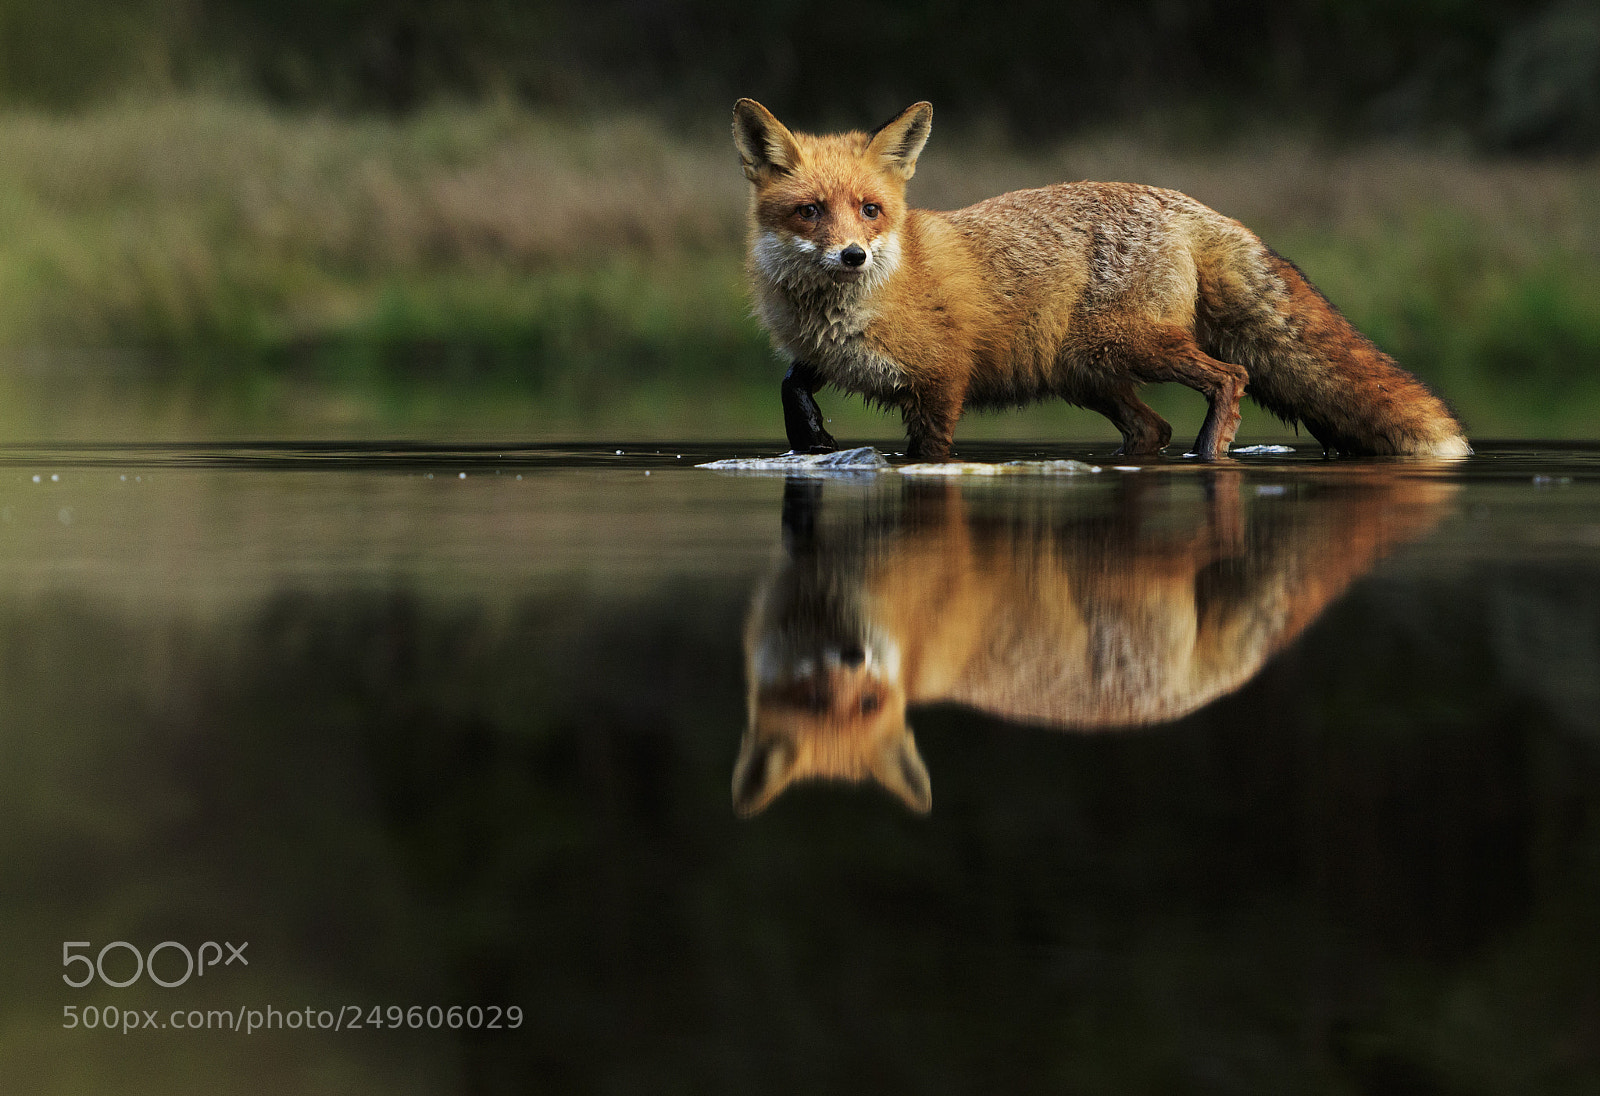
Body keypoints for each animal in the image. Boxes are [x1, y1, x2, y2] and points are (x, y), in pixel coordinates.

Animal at [733, 98, 1470, 461]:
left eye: (870, 210)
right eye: (810, 211)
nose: (852, 257)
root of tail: (1188, 204)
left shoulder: (942, 382)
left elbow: (929, 454)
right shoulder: (835, 357)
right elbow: (792, 380)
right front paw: (810, 437)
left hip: (1123, 347)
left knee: (1230, 378)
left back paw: (1210, 455)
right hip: (1084, 372)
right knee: (1152, 428)